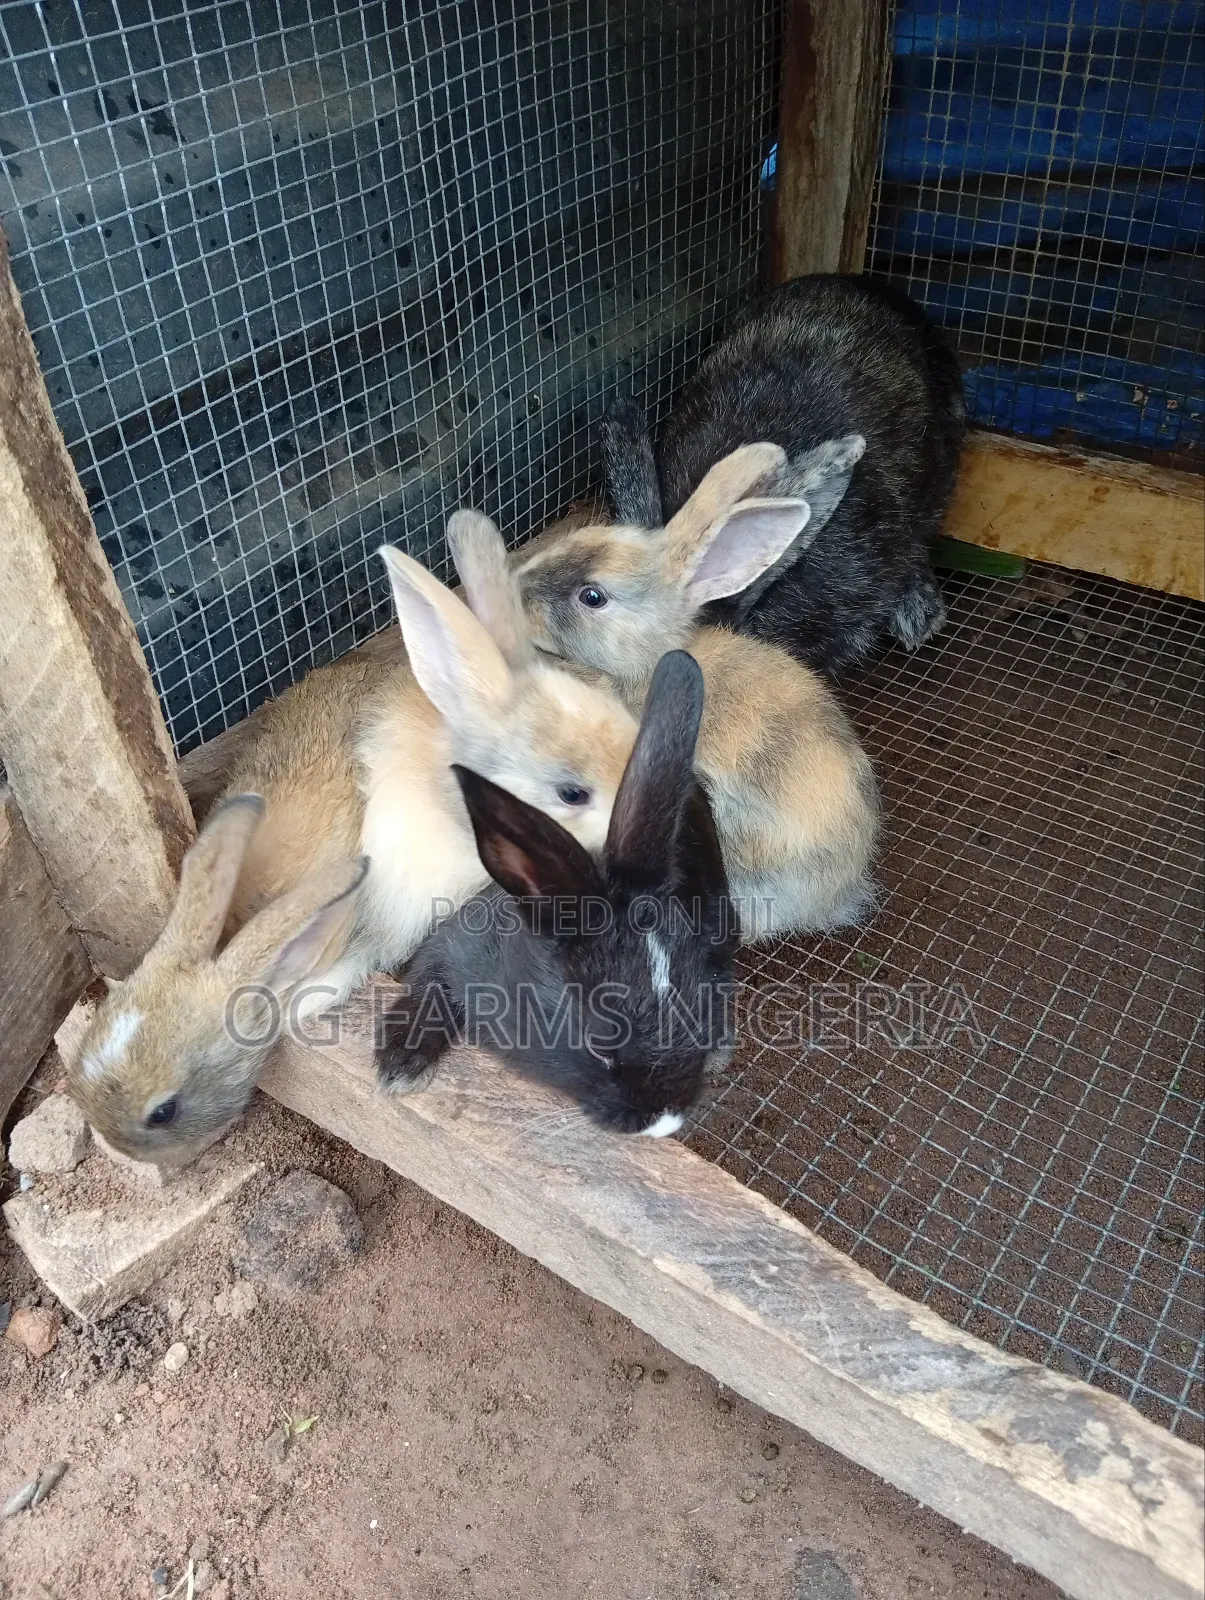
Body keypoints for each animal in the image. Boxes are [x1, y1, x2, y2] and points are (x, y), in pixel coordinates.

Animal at [377, 650, 739, 1135]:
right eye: (600, 1045)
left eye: (696, 1021)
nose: (662, 1124)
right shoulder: (449, 944)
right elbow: (429, 987)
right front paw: (400, 1065)